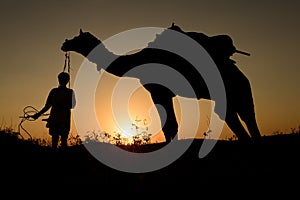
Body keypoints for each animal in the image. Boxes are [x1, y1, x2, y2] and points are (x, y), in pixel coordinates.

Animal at [61, 23, 262, 142]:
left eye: (78, 38)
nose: (64, 43)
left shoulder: (158, 91)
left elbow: (170, 127)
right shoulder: (164, 93)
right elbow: (171, 127)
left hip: (232, 87)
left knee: (240, 115)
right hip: (232, 93)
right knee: (239, 116)